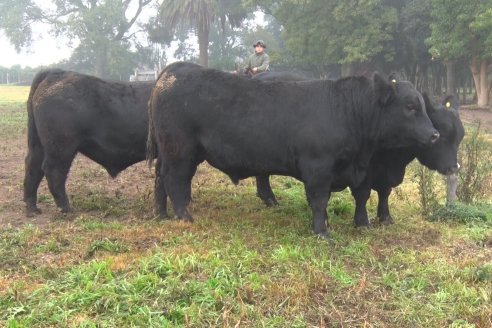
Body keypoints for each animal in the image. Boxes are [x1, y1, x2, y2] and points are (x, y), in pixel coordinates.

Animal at [147, 61, 438, 237]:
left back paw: (161, 214)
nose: (434, 134)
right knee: (175, 180)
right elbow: (319, 201)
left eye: (422, 106)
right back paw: (184, 216)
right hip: (180, 152)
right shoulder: (318, 169)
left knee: (161, 179)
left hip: (170, 153)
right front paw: (322, 232)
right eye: (410, 107)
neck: (345, 110)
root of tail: (173, 71)